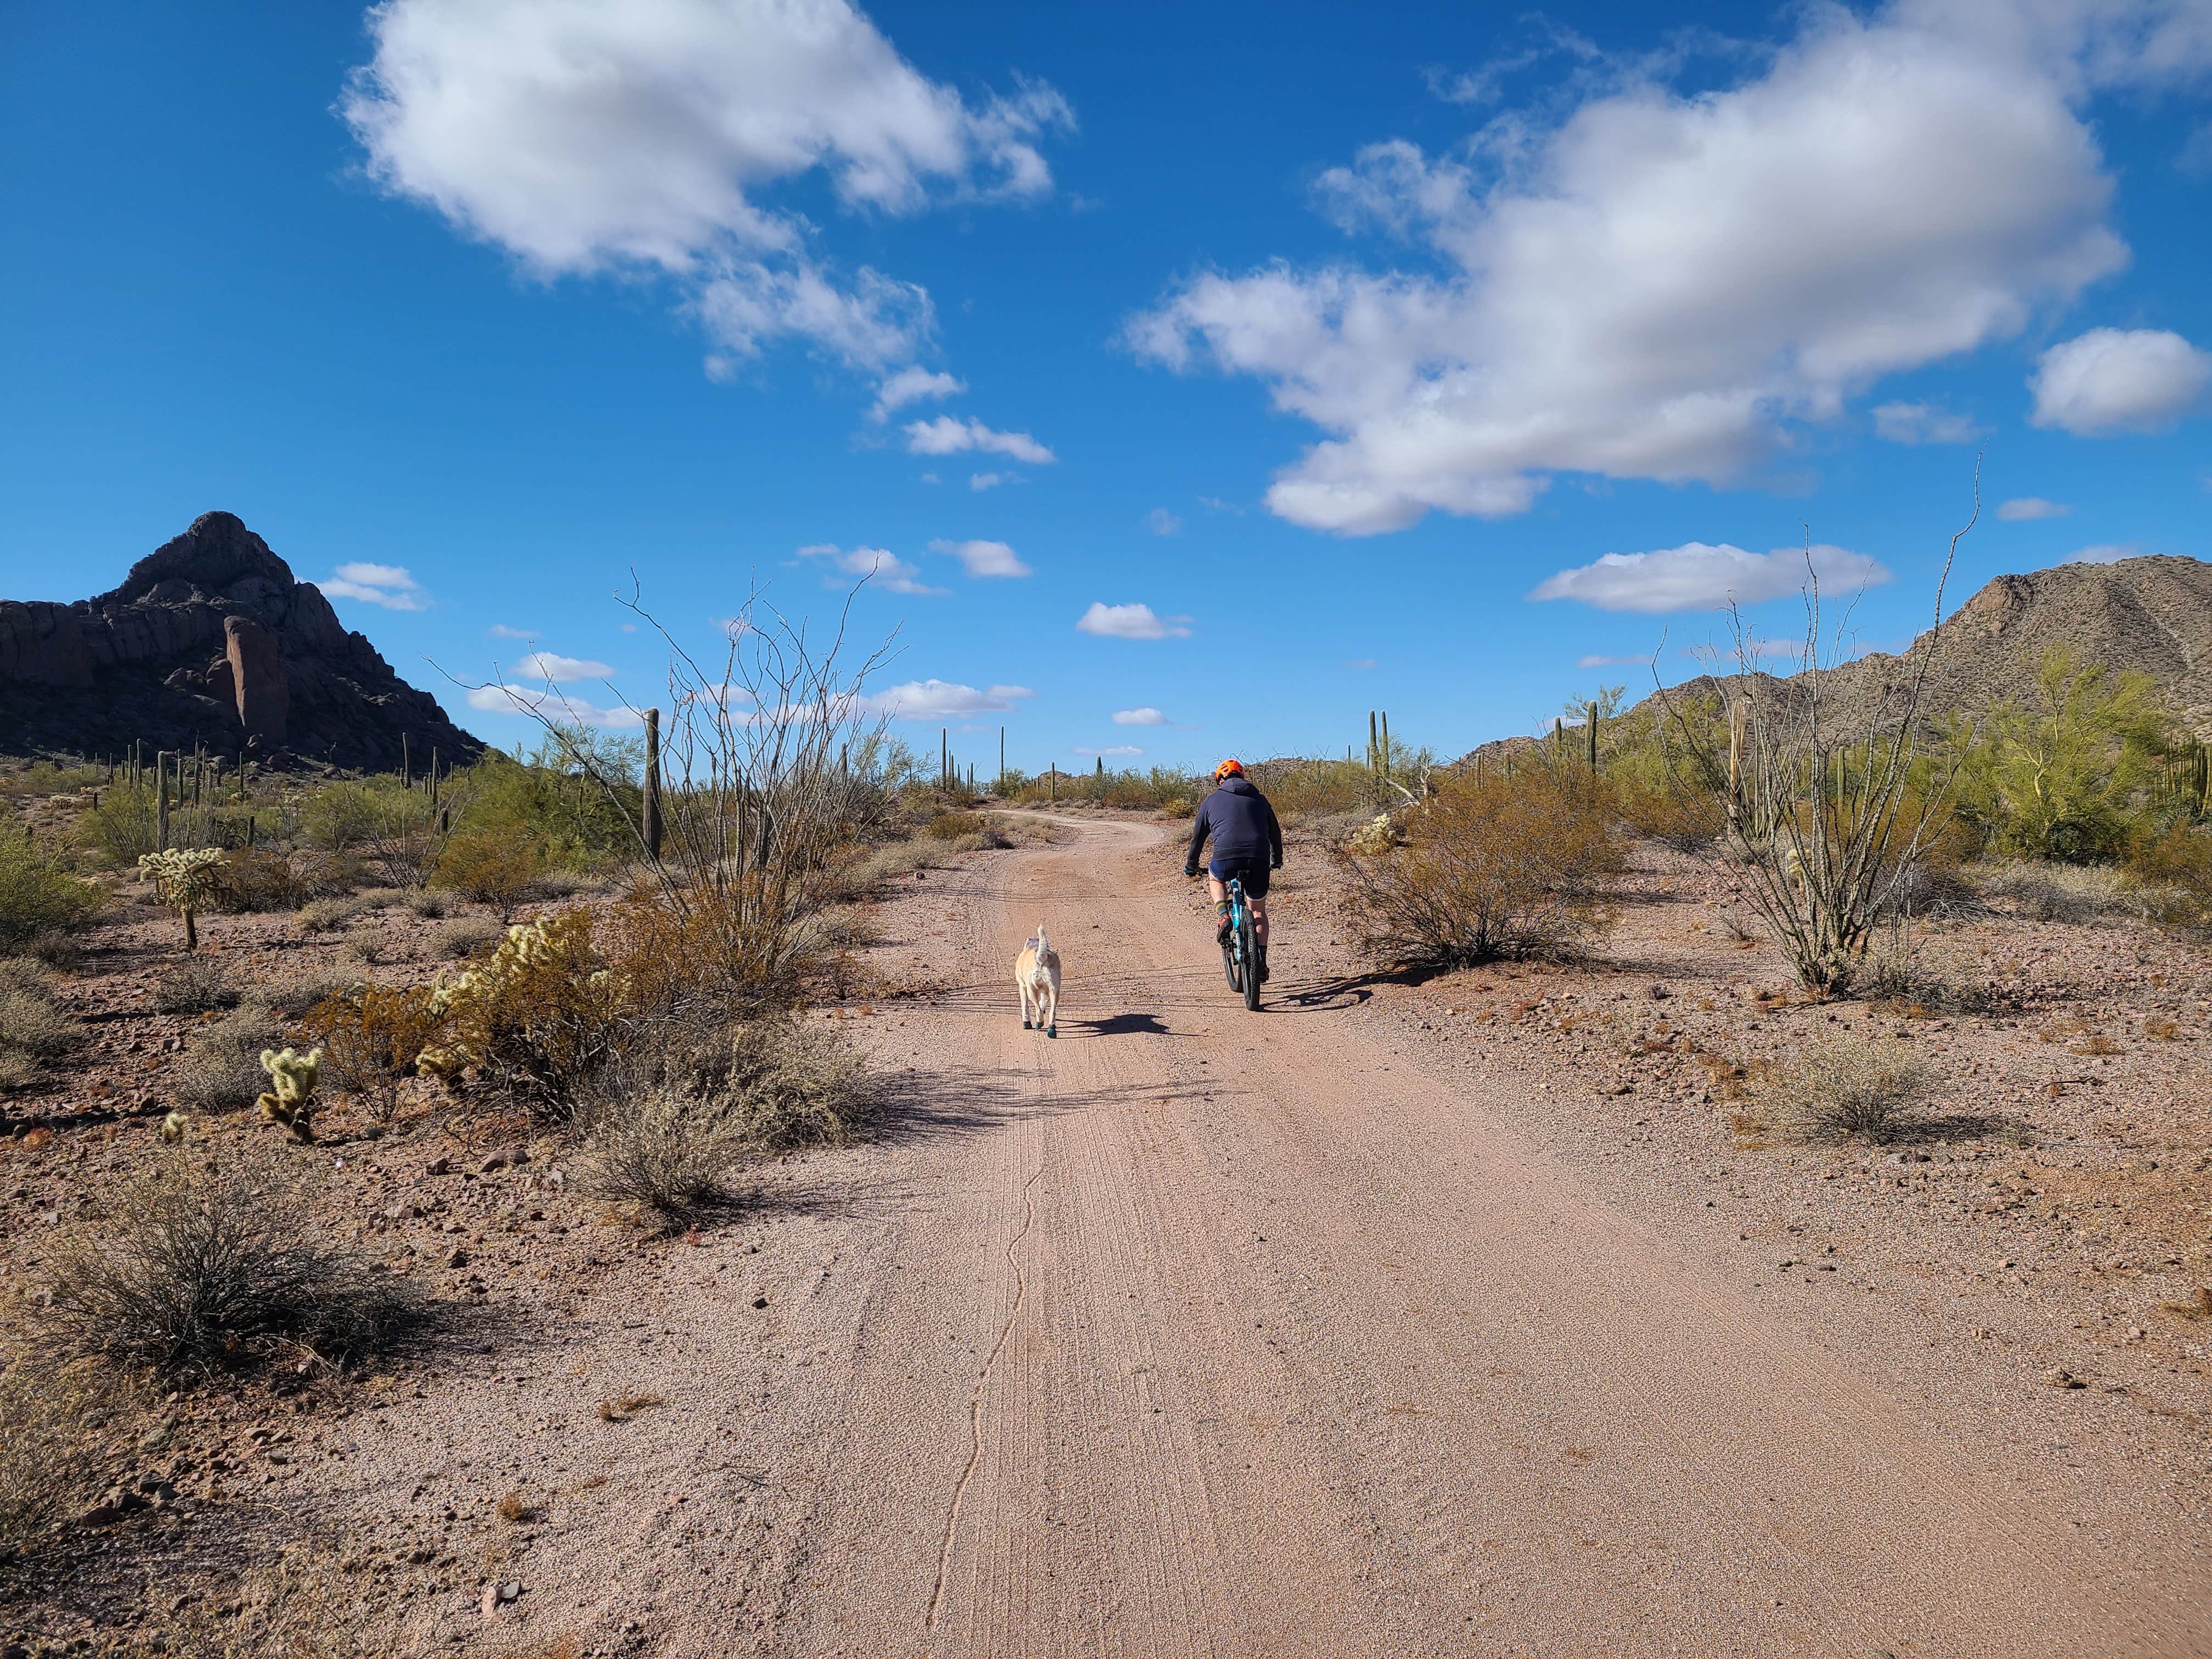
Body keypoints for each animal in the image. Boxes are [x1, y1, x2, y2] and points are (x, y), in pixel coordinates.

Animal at [1013, 924, 1057, 1040]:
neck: (1033, 946)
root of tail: (1041, 958)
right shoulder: (1044, 990)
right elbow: (1043, 1001)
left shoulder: (1023, 987)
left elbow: (1025, 1006)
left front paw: (1026, 1023)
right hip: (1055, 990)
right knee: (1053, 1011)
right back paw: (1052, 1029)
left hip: (1031, 990)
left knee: (1038, 1010)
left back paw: (1039, 1023)